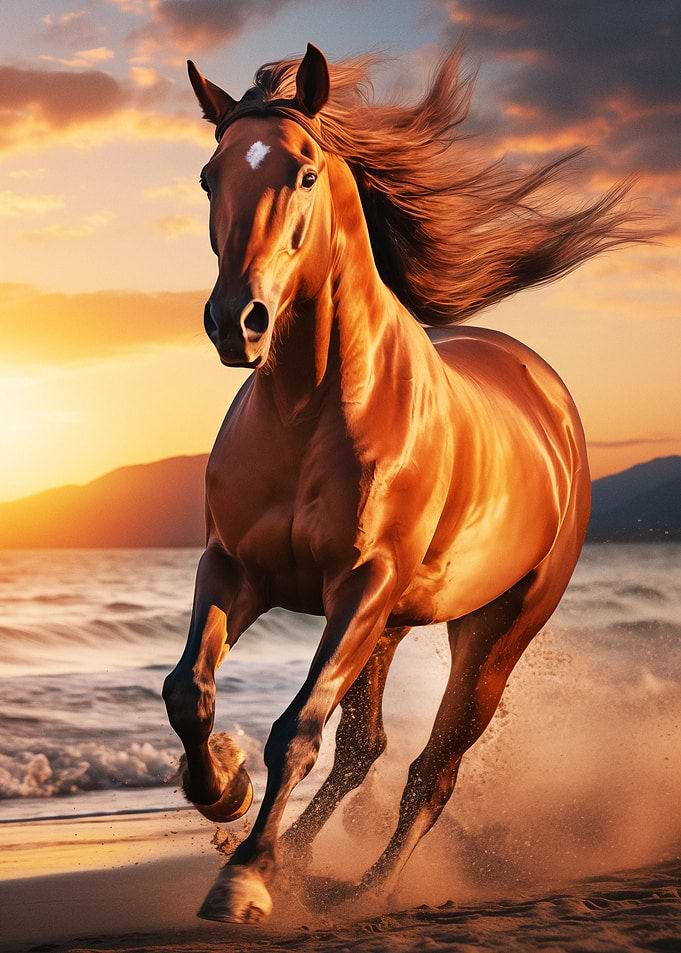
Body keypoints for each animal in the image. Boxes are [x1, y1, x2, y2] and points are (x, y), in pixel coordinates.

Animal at [162, 44, 643, 924]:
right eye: (211, 177)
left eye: (305, 171)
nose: (236, 322)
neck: (307, 406)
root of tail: (544, 390)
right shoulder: (234, 568)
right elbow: (189, 690)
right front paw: (222, 790)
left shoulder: (360, 585)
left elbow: (297, 730)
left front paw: (242, 877)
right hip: (387, 628)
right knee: (367, 749)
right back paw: (305, 864)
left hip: (493, 630)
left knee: (431, 768)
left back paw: (362, 887)